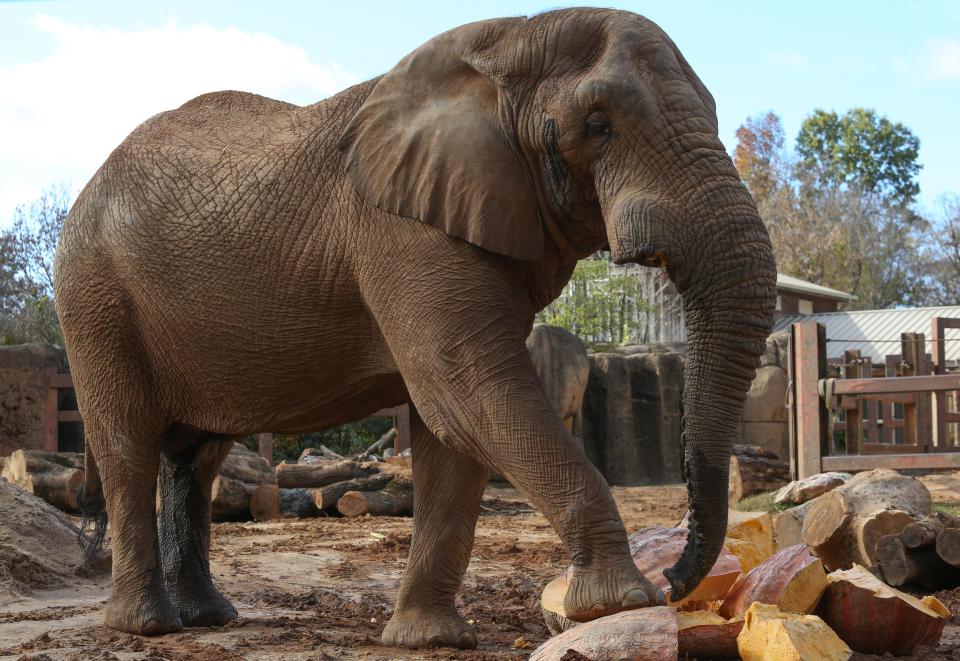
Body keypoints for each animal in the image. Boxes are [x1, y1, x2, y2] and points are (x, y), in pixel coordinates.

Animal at [52, 7, 776, 648]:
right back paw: (147, 627)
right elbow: (470, 391)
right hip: (94, 296)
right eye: (598, 126)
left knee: (196, 457)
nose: (676, 580)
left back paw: (210, 618)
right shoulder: (402, 230)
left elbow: (453, 425)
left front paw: (429, 639)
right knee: (127, 444)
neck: (510, 40)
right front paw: (620, 603)